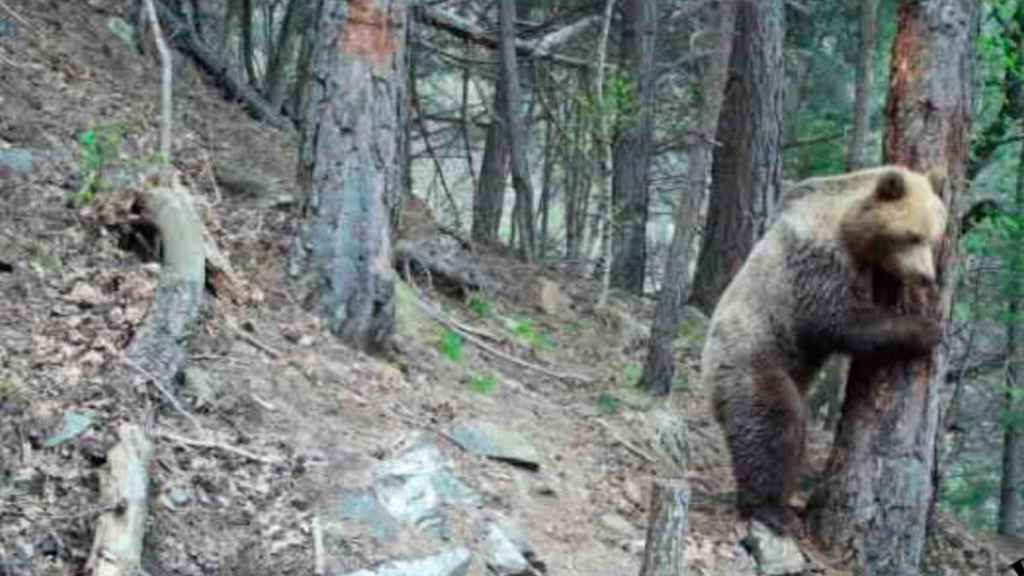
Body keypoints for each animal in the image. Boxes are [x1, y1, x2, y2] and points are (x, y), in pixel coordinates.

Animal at [700, 163, 946, 537]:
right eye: (912, 235)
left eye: (934, 238)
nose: (925, 277)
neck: (848, 227)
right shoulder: (815, 262)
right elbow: (841, 320)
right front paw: (927, 329)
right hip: (751, 359)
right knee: (772, 424)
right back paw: (771, 509)